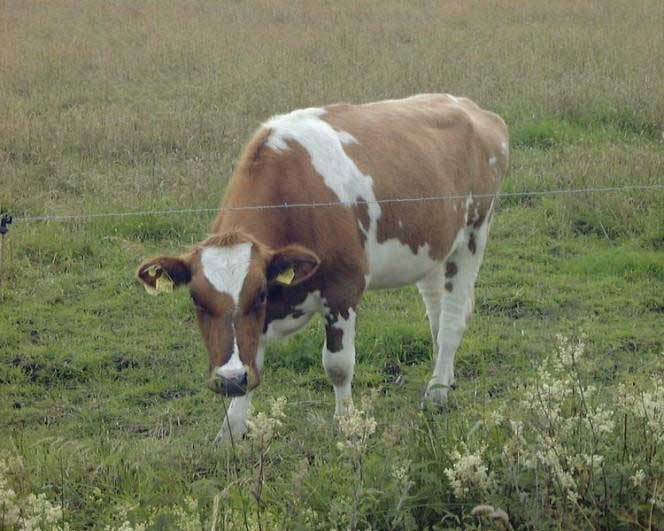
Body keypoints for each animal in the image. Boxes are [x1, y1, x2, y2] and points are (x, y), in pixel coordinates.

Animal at [137, 94, 508, 443]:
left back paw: (436, 393)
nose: (229, 381)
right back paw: (444, 376)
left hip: (475, 233)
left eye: (259, 294)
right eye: (196, 300)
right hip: (431, 247)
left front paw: (346, 423)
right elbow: (252, 357)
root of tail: (471, 107)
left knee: (452, 320)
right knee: (436, 314)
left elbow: (338, 366)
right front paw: (231, 428)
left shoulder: (343, 289)